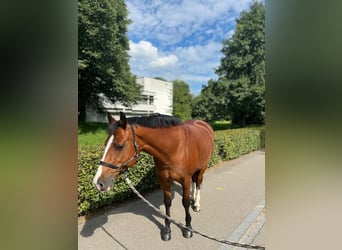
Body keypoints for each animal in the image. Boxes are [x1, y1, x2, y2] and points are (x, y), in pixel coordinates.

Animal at [92, 111, 212, 240]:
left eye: (119, 146)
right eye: (105, 144)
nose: (98, 183)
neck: (175, 148)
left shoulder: (185, 180)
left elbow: (185, 202)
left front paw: (188, 228)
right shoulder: (164, 179)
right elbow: (167, 202)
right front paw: (167, 230)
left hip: (203, 167)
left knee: (198, 183)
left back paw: (196, 204)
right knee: (194, 182)